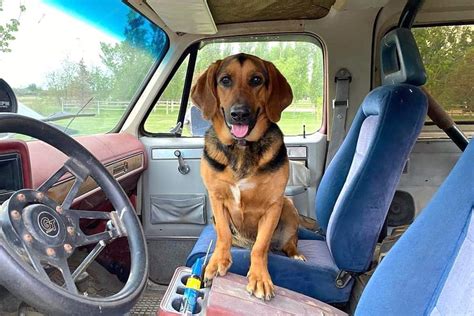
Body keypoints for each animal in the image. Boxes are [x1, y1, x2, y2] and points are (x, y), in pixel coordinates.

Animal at [189, 53, 304, 300]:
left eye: (256, 80)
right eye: (225, 80)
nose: (239, 114)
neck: (241, 148)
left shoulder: (273, 205)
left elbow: (260, 247)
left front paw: (260, 277)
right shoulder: (216, 198)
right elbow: (223, 234)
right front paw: (218, 261)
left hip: (288, 208)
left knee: (289, 242)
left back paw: (296, 254)